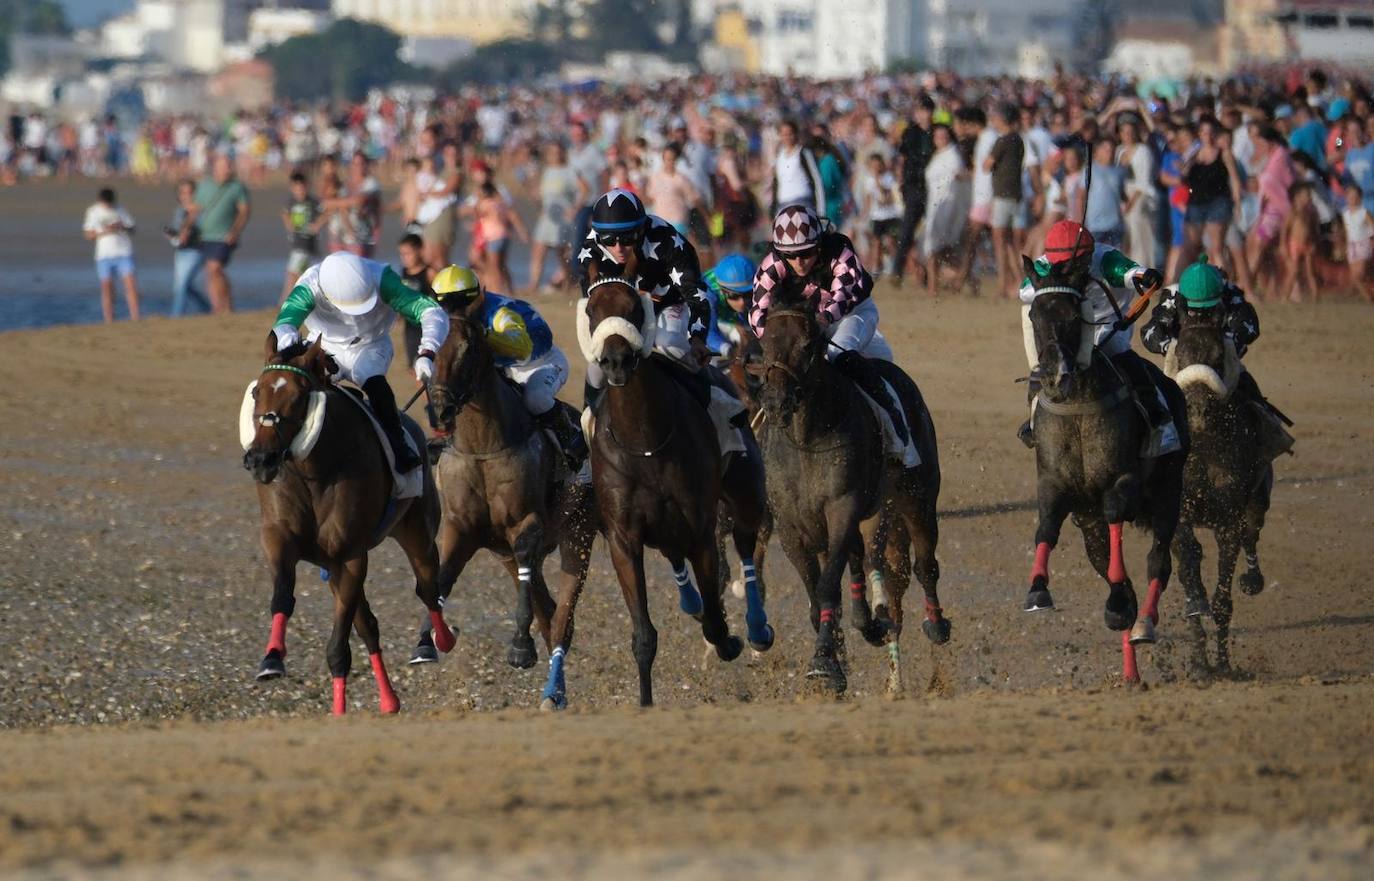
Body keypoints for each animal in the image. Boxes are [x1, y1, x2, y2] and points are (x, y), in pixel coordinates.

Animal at [243, 332, 456, 709]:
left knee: (428, 590)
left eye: (298, 396)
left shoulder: (351, 557)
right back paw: (388, 700)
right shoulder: (280, 539)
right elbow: (283, 597)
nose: (260, 459)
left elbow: (339, 646)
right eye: (258, 392)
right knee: (370, 625)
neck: (315, 471)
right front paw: (272, 659)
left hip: (417, 535)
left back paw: (440, 641)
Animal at [412, 295, 596, 681]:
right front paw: (427, 642)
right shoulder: (461, 528)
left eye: (468, 348)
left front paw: (521, 647)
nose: (441, 409)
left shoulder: (526, 524)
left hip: (578, 531)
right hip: (503, 550)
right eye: (430, 351)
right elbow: (441, 579)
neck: (483, 448)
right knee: (546, 604)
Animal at [544, 254, 774, 709]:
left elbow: (717, 618)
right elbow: (644, 636)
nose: (615, 362)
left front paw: (729, 640)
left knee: (747, 545)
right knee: (677, 557)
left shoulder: (702, 529)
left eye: (635, 306)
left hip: (744, 491)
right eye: (592, 310)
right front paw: (645, 702)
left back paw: (757, 628)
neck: (644, 440)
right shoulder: (623, 537)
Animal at [752, 281, 945, 692]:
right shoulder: (792, 526)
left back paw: (935, 625)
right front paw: (835, 656)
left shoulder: (842, 507)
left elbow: (828, 587)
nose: (775, 401)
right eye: (766, 342)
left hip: (916, 499)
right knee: (863, 562)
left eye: (808, 344)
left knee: (924, 564)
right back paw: (871, 623)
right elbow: (817, 598)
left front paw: (825, 663)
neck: (807, 439)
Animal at [1027, 258, 1187, 684]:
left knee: (1158, 562)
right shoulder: (1056, 485)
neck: (1078, 406)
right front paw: (1037, 590)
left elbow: (1116, 509)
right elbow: (1045, 527)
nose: (1054, 375)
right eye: (1034, 314)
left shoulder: (1123, 481)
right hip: (1090, 526)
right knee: (1122, 575)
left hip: (1169, 494)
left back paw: (1143, 623)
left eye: (1073, 315)